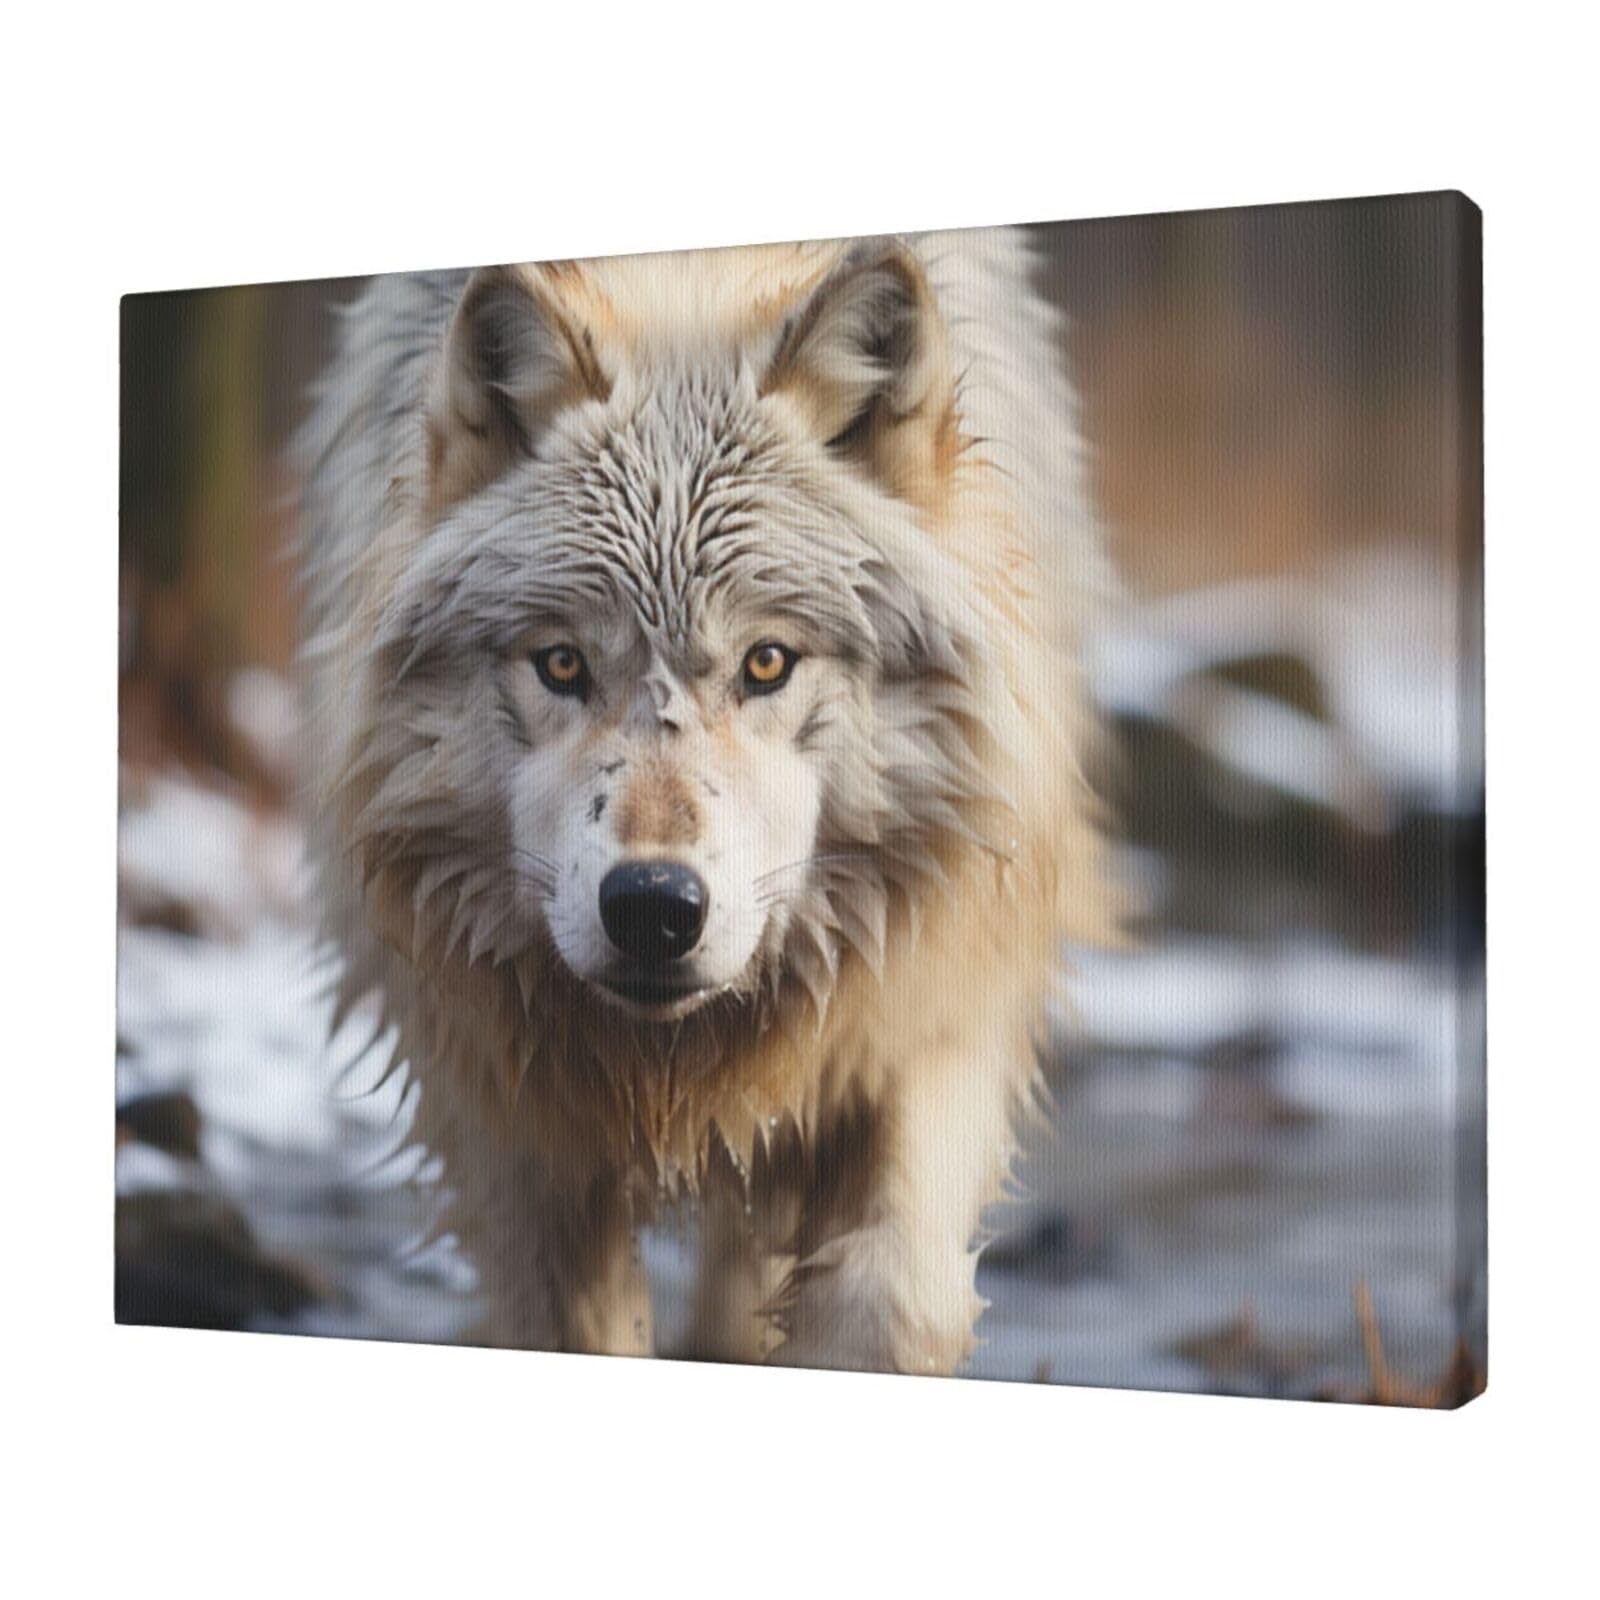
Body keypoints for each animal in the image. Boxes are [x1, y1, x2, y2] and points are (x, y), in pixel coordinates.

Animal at [296, 228, 1118, 1374]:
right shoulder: (495, 1099)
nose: (652, 907)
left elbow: (892, 1296)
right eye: (561, 664)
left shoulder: (928, 990)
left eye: (767, 662)